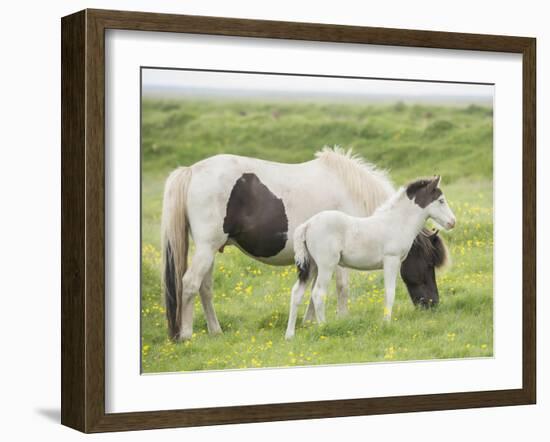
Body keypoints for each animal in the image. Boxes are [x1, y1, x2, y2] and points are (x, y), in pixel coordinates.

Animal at [288, 175, 458, 338]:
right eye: (441, 200)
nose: (452, 222)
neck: (397, 223)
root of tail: (308, 224)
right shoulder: (391, 260)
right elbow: (390, 292)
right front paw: (386, 324)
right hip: (326, 266)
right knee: (318, 294)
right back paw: (324, 327)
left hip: (312, 265)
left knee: (297, 293)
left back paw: (290, 335)